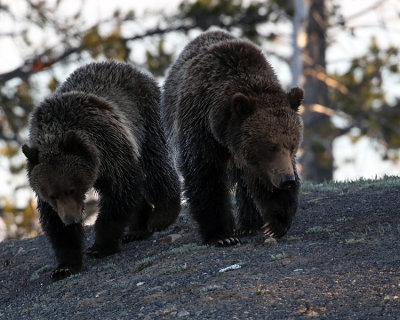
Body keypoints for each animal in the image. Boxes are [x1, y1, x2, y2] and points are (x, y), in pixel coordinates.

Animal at [21, 61, 181, 282]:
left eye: (71, 189)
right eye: (52, 195)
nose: (71, 220)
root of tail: (126, 66)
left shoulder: (110, 147)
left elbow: (120, 193)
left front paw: (100, 246)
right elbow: (54, 224)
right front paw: (65, 266)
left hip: (145, 118)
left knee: (155, 163)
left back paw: (163, 215)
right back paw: (136, 230)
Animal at [160, 30, 304, 245]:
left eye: (292, 145)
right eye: (271, 146)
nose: (287, 180)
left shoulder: (258, 160)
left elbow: (263, 181)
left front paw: (276, 223)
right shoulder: (200, 129)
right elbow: (205, 176)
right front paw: (222, 235)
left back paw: (249, 224)